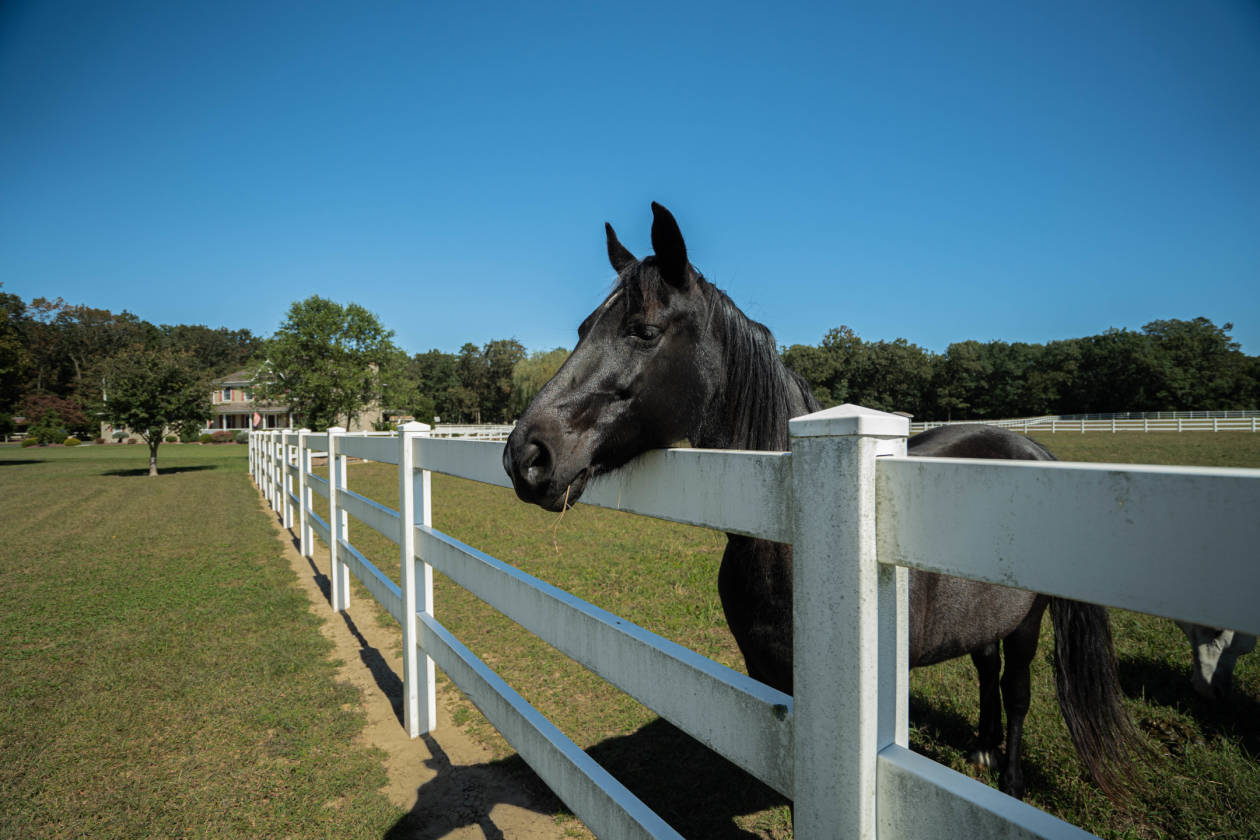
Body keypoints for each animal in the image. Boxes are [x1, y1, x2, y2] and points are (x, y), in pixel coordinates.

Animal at [502, 202, 1139, 800]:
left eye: (643, 330)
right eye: (584, 327)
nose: (525, 455)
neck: (786, 544)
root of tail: (1031, 447)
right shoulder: (767, 677)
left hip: (1027, 623)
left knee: (1016, 692)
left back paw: (1008, 780)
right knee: (985, 666)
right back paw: (982, 749)